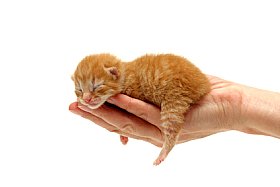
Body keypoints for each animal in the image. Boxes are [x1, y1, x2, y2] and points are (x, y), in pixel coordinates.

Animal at [72, 53, 210, 165]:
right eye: (79, 90)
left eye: (97, 86)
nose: (86, 99)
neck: (125, 75)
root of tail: (204, 83)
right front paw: (123, 137)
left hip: (174, 100)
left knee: (172, 131)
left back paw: (163, 153)